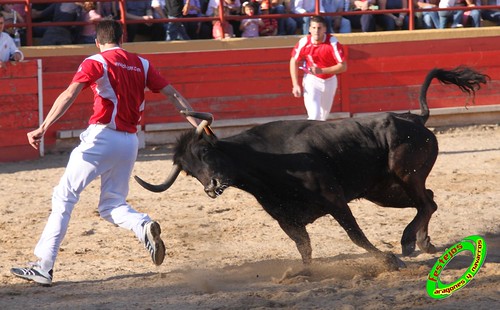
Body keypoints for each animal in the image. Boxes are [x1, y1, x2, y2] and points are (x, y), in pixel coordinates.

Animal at [136, 66, 488, 270]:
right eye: (189, 170)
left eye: (206, 152)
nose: (212, 186)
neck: (268, 164)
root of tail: (416, 118)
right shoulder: (286, 217)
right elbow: (303, 248)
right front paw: (301, 273)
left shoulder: (334, 200)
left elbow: (355, 235)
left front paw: (387, 260)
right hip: (383, 191)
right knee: (429, 200)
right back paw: (418, 242)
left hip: (404, 177)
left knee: (425, 202)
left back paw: (409, 243)